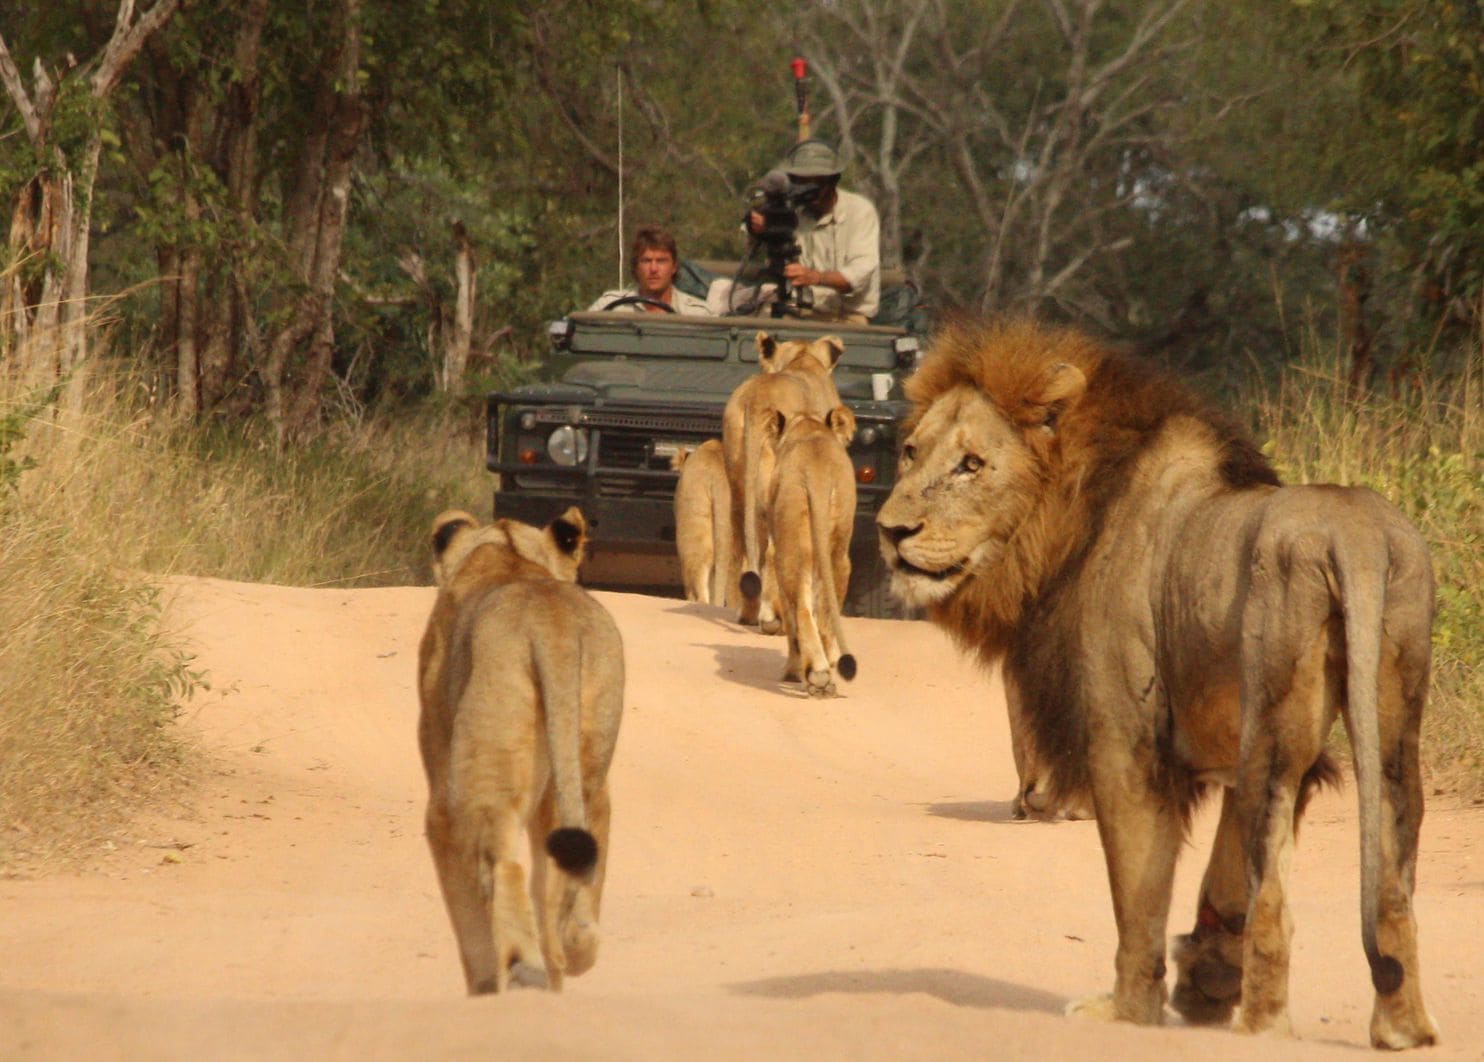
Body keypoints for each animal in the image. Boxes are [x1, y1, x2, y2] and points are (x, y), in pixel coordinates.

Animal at [418, 507, 626, 996]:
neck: (507, 553)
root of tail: (550, 625)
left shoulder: (441, 808)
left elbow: (469, 924)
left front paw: (483, 986)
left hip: (488, 765)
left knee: (503, 864)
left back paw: (525, 970)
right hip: (587, 767)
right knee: (561, 881)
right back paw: (574, 948)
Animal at [721, 329, 848, 631]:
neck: (803, 360)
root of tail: (755, 400)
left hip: (739, 484)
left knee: (741, 546)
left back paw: (746, 613)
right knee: (771, 551)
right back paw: (773, 617)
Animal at [765, 403, 860, 694]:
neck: (808, 427)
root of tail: (817, 474)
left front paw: (792, 671)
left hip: (789, 555)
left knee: (801, 611)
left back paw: (815, 674)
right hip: (838, 553)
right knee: (827, 610)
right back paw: (829, 665)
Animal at [878, 315, 1436, 1044]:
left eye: (971, 464)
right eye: (910, 453)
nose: (890, 531)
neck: (1072, 520)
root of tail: (1357, 534)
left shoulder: (1129, 744)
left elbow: (1138, 893)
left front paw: (1127, 1010)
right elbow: (1223, 879)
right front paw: (1207, 979)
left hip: (1275, 738)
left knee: (1275, 900)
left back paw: (1263, 1027)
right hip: (1392, 721)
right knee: (1392, 884)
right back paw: (1403, 1029)